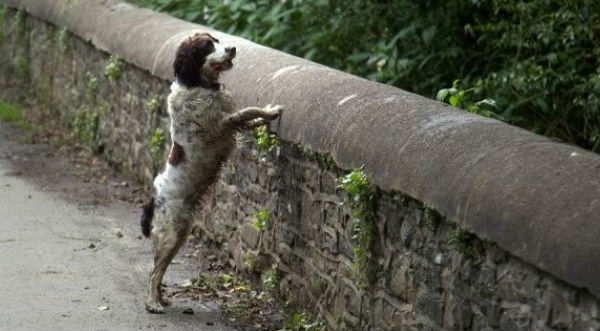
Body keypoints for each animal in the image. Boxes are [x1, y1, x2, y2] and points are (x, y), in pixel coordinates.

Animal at [140, 31, 282, 314]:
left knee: (160, 271)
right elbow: (248, 111)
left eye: (216, 40)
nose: (233, 48)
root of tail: (153, 202)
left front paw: (265, 118)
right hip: (169, 235)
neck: (198, 85)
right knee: (153, 273)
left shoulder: (228, 120)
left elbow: (249, 118)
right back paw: (153, 303)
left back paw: (161, 298)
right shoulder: (222, 123)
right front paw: (271, 111)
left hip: (180, 234)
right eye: (207, 46)